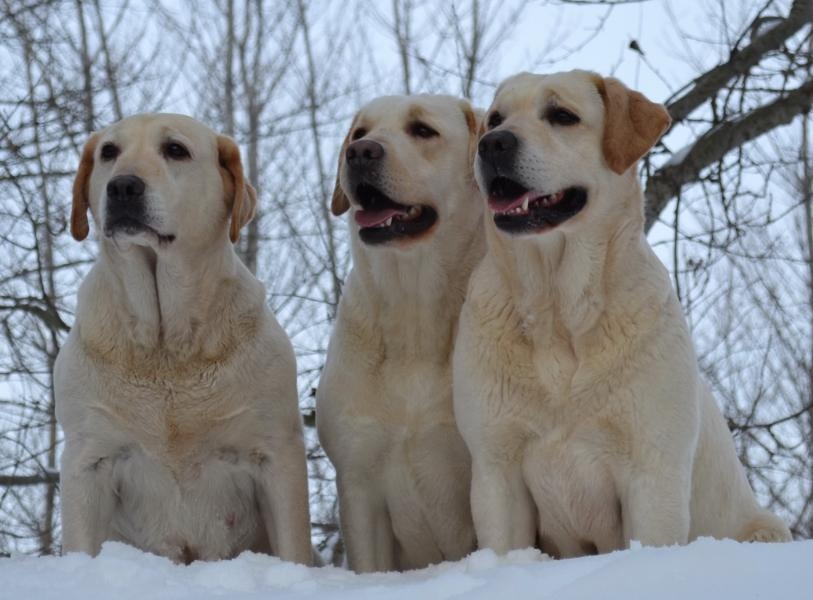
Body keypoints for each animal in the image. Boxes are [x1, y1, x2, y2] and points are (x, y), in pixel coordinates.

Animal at [55, 113, 312, 568]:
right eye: (108, 152)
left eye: (175, 150)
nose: (123, 187)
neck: (166, 348)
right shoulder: (88, 458)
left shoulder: (275, 453)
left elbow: (292, 543)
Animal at [450, 72, 788, 560]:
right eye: (495, 119)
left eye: (562, 116)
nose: (493, 144)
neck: (559, 308)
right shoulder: (497, 467)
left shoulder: (653, 469)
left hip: (765, 528)